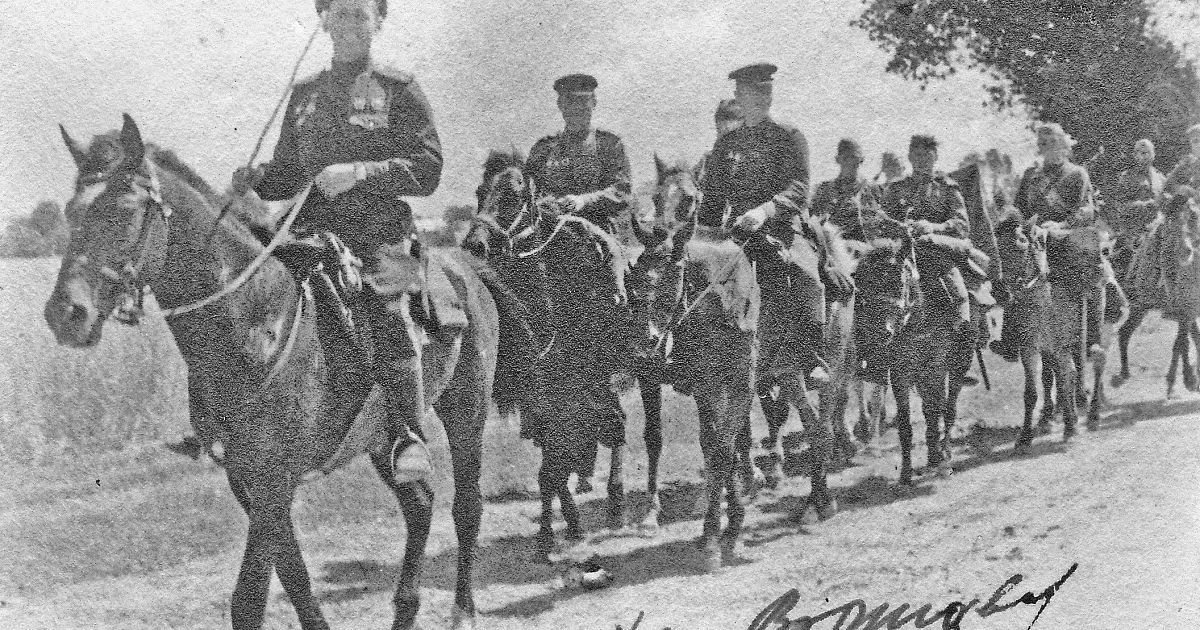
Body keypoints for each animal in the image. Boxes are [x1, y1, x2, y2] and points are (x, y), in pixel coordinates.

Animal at [43, 115, 543, 630]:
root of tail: (469, 265)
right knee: (421, 503)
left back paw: (463, 611)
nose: (65, 314)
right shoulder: (248, 482)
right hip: (383, 436)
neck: (255, 318)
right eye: (71, 212)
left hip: (467, 410)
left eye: (123, 209)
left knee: (467, 508)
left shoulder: (274, 482)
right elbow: (277, 587)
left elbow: (269, 592)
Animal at [462, 150, 630, 559]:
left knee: (617, 427)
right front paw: (556, 531)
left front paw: (559, 531)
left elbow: (554, 467)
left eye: (513, 196)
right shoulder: (540, 405)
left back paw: (616, 502)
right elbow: (549, 471)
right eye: (480, 192)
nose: (475, 244)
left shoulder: (572, 398)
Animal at [1113, 197, 1200, 398]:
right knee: (1124, 332)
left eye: (1193, 219)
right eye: (1172, 225)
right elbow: (1183, 342)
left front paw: (1187, 380)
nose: (1186, 250)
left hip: (1142, 308)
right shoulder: (1185, 310)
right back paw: (1124, 373)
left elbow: (1188, 340)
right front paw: (1179, 382)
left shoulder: (1188, 311)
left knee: (1125, 332)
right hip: (1140, 307)